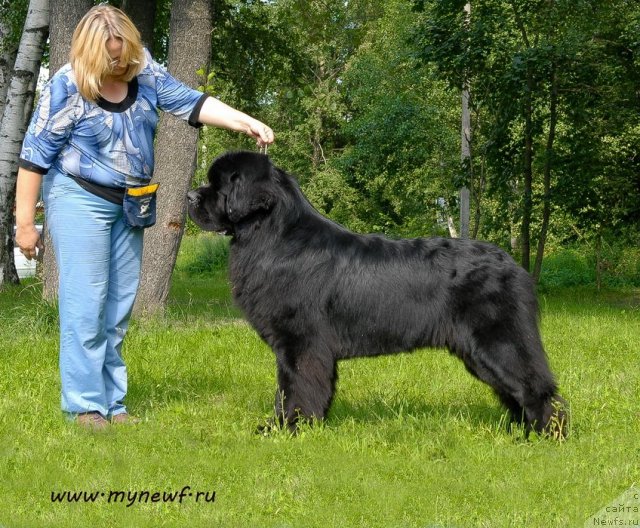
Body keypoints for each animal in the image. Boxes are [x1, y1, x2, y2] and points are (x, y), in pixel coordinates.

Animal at [188, 152, 568, 438]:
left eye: (220, 185)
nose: (190, 196)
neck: (274, 236)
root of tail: (513, 265)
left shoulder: (300, 342)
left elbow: (294, 387)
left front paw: (287, 428)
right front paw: (308, 424)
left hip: (499, 342)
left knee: (536, 388)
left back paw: (548, 435)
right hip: (479, 352)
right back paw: (520, 432)